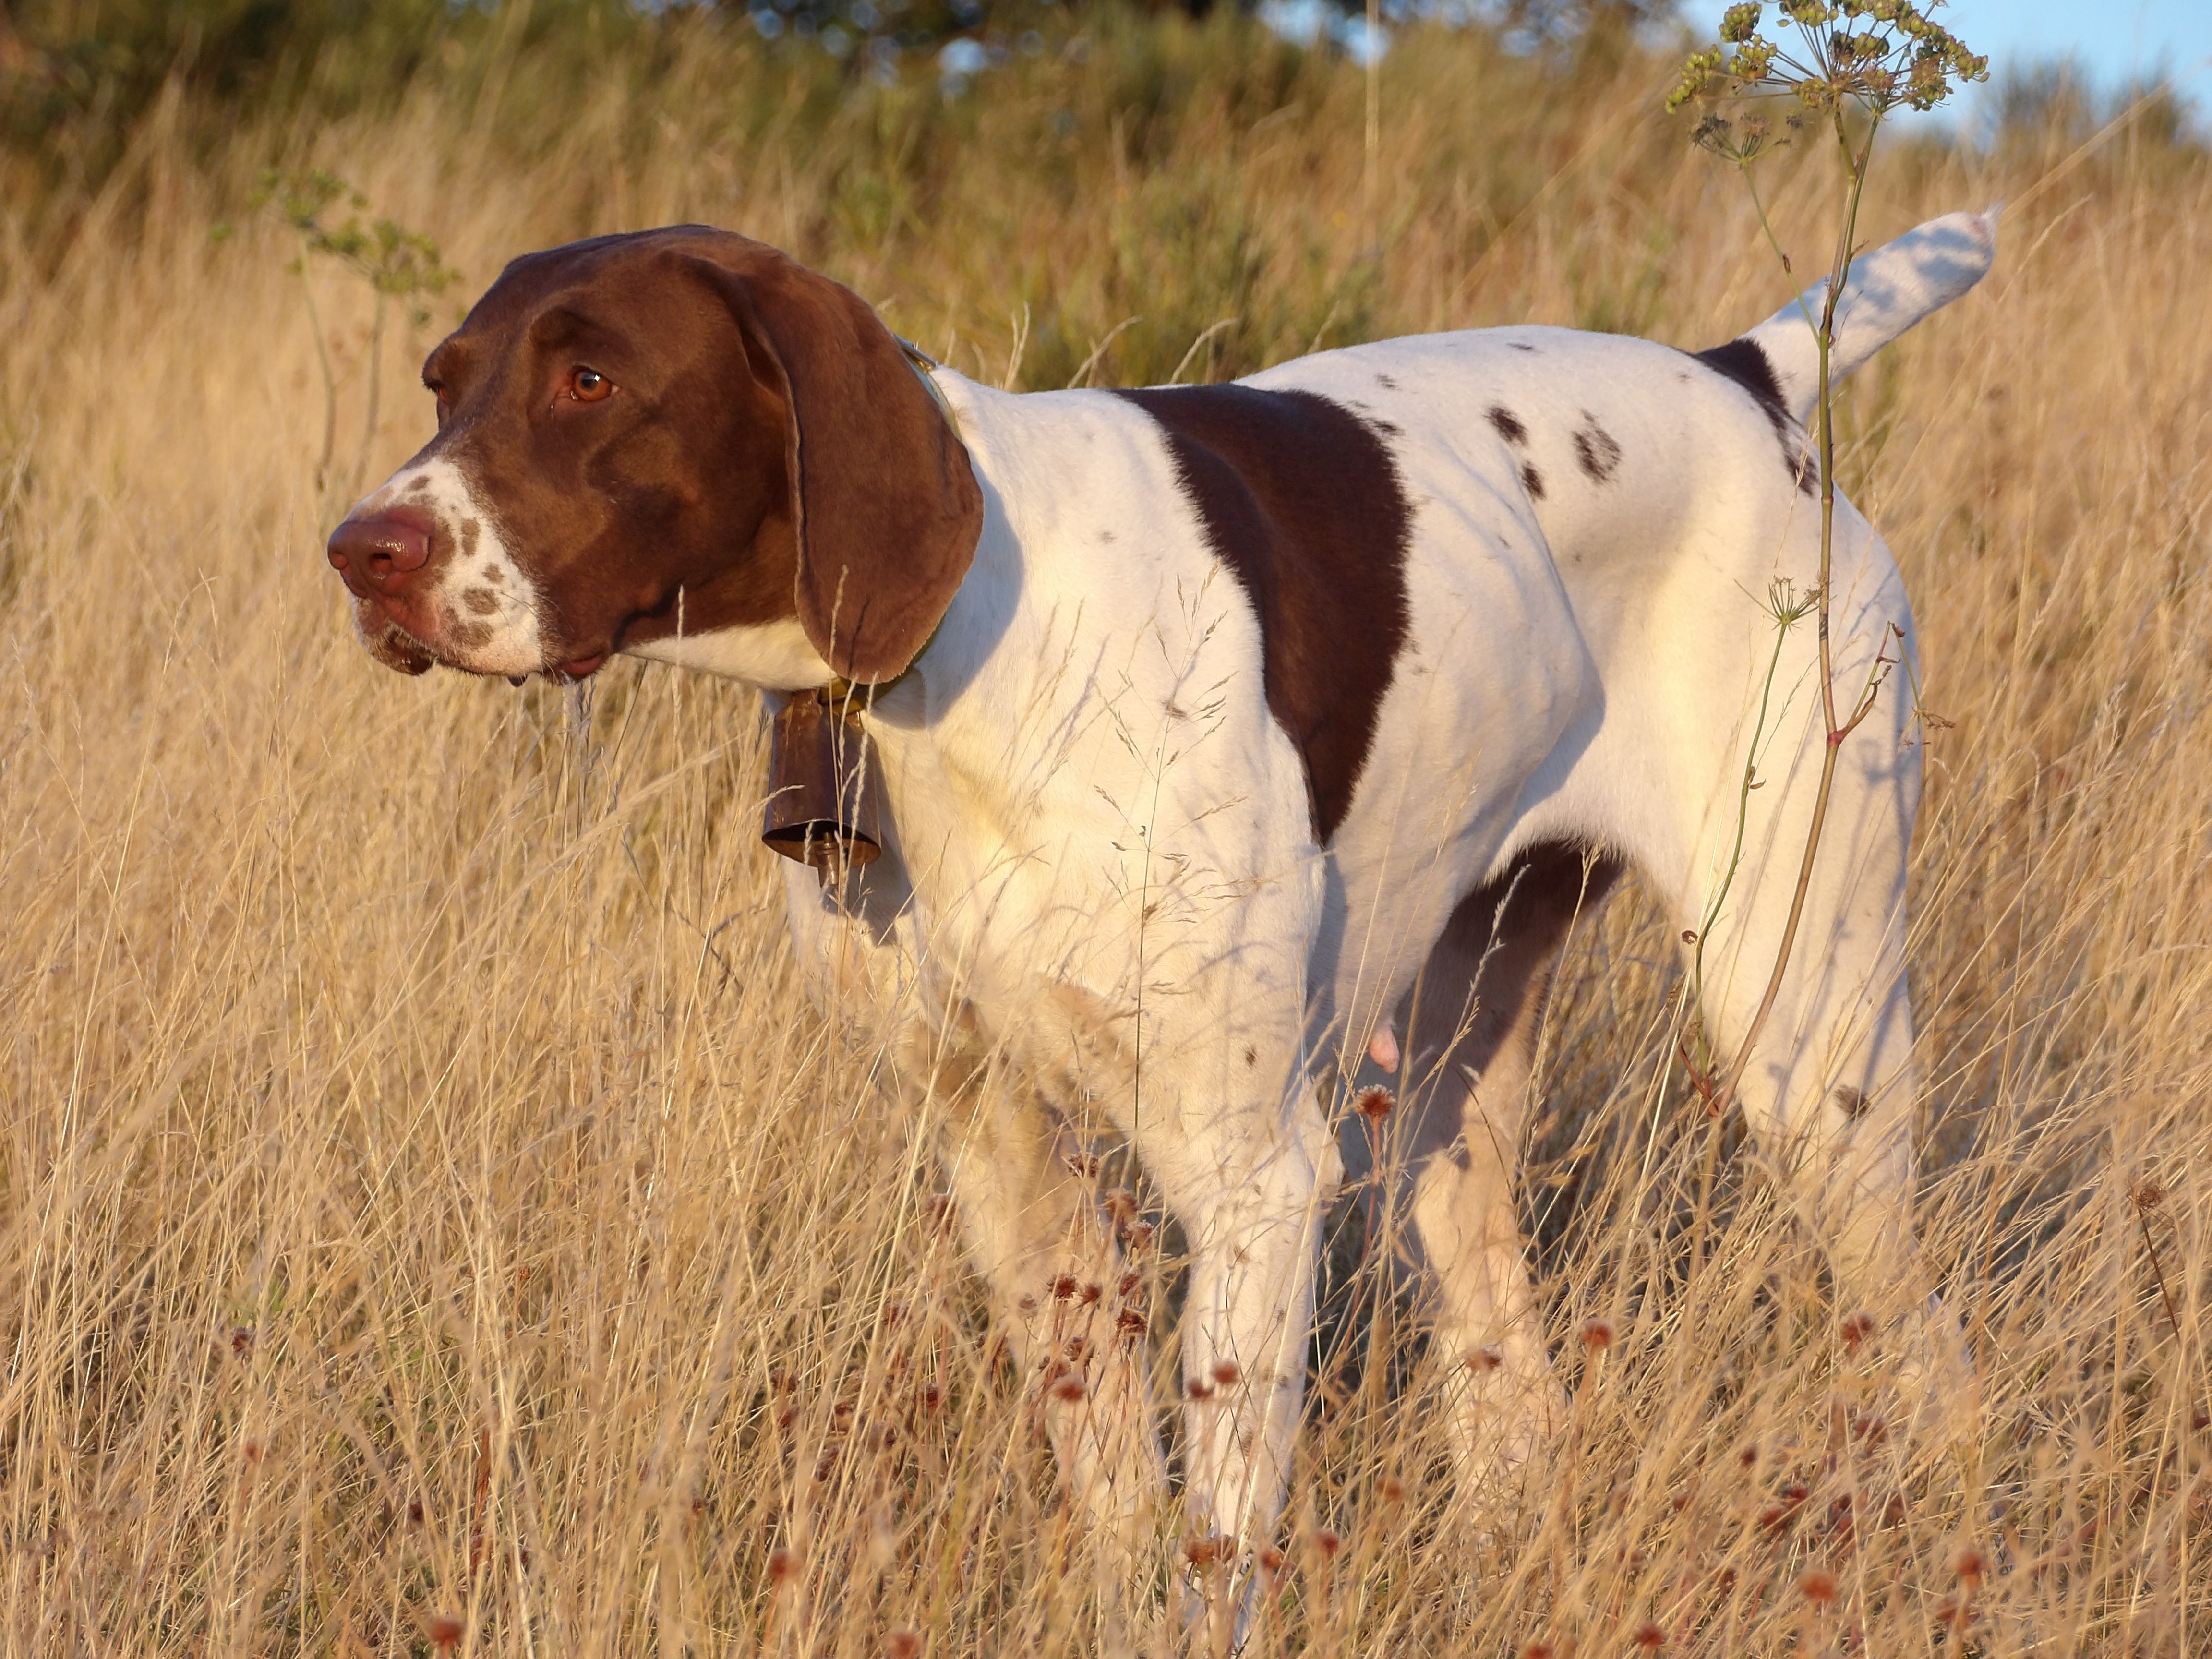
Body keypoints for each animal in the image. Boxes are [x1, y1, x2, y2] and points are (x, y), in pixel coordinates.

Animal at [332, 208, 2008, 1628]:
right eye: (443, 382)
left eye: (593, 379)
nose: (363, 554)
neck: (960, 669)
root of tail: (1745, 381)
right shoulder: (1003, 1160)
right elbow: (1118, 1501)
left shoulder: (1252, 1177)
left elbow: (1219, 1546)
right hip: (1441, 1091)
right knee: (1507, 1380)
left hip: (1809, 1047)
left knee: (1930, 1347)